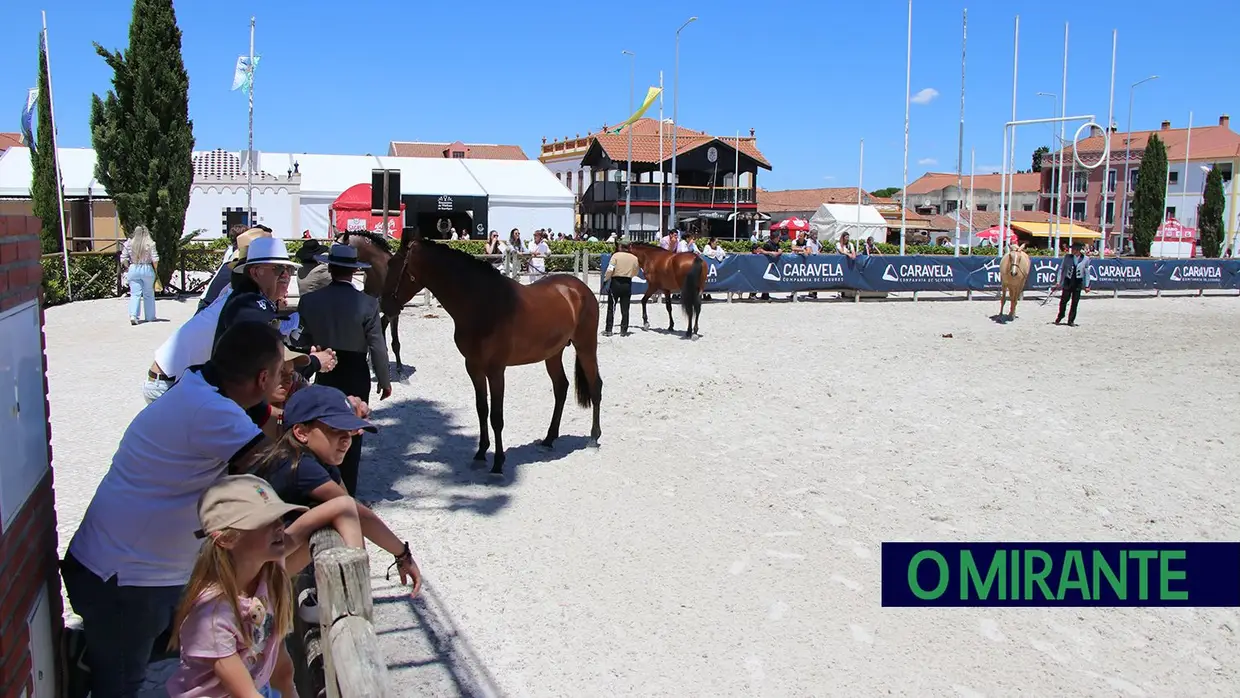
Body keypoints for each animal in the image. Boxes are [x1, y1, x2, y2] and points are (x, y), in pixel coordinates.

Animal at [386, 229, 600, 476]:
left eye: (393, 264)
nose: (384, 305)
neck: (482, 303)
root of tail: (579, 289)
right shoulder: (473, 366)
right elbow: (482, 409)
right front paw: (480, 453)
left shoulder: (496, 370)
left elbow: (496, 416)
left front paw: (498, 462)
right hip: (553, 354)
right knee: (561, 387)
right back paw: (549, 439)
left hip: (586, 346)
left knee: (595, 386)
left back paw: (593, 439)